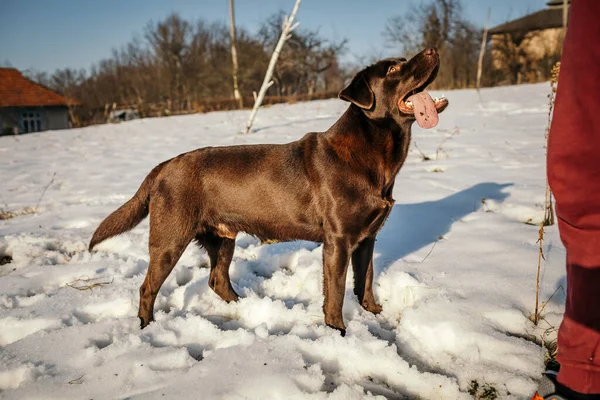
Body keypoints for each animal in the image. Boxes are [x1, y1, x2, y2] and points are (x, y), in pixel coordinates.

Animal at [88, 46, 446, 334]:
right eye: (393, 70)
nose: (432, 48)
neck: (371, 154)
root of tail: (163, 166)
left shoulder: (367, 237)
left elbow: (366, 280)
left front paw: (373, 313)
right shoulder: (338, 241)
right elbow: (336, 292)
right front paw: (338, 332)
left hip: (222, 238)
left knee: (217, 280)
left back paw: (244, 307)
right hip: (169, 240)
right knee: (147, 287)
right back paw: (147, 327)